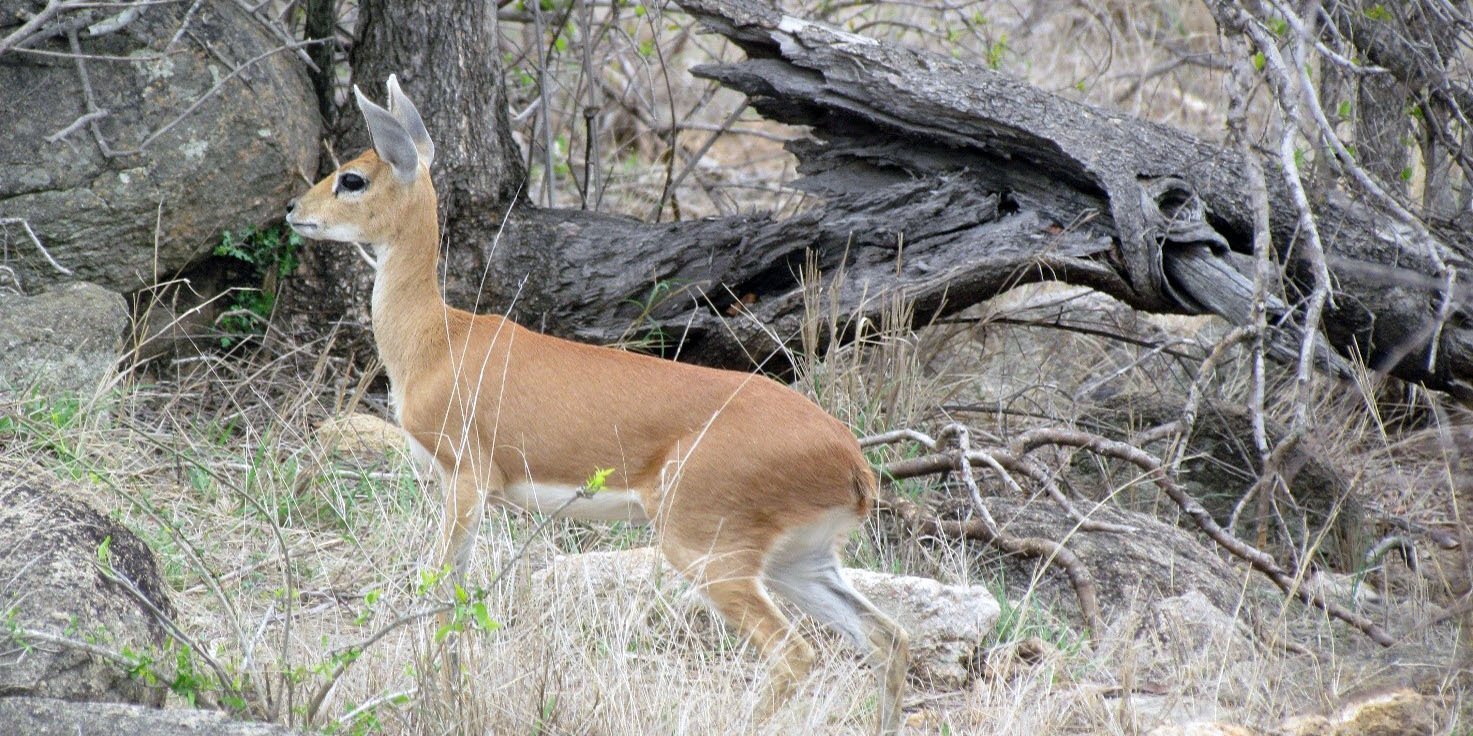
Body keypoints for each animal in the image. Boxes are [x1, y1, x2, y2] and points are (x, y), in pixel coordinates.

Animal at [284, 76, 907, 736]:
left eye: (353, 177)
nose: (295, 211)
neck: (436, 342)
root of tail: (853, 463)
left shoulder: (467, 479)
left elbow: (442, 591)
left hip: (706, 549)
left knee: (795, 652)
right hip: (800, 560)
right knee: (887, 637)